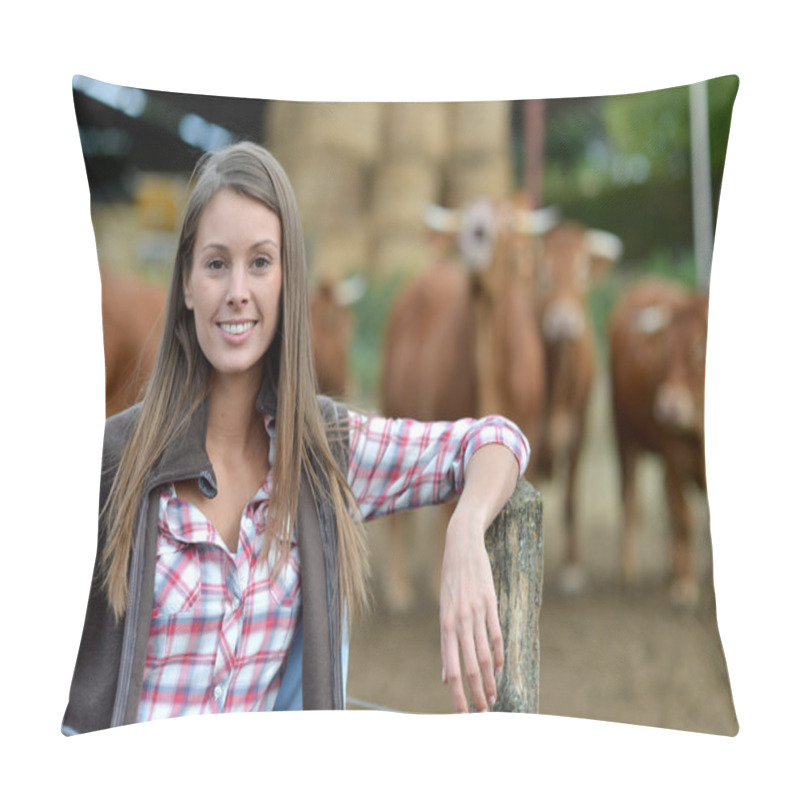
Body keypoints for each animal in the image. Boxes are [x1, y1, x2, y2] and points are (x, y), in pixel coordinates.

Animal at [380, 197, 556, 608]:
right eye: (464, 216)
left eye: (503, 224)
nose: (476, 231)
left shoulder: (532, 425)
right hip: (392, 399)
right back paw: (398, 585)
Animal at [608, 276, 708, 608]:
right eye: (665, 352)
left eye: (699, 350)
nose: (667, 407)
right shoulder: (675, 456)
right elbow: (685, 519)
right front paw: (686, 587)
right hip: (623, 435)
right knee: (630, 498)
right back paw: (629, 571)